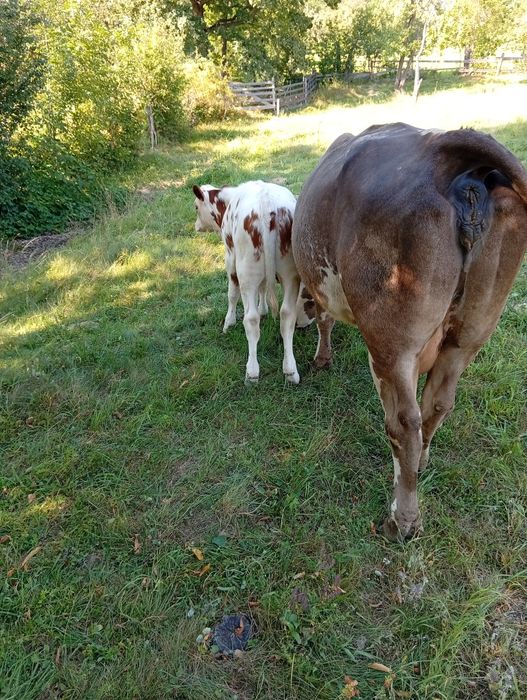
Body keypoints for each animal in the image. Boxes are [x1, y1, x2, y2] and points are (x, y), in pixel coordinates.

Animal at [192, 180, 308, 384]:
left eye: (196, 207)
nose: (196, 226)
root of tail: (267, 204)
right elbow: (263, 288)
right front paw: (264, 309)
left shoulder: (230, 258)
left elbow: (232, 294)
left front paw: (228, 323)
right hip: (290, 274)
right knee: (287, 316)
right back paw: (290, 371)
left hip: (246, 272)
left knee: (251, 319)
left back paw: (252, 372)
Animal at [292, 122, 527, 541]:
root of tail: (440, 147)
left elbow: (325, 320)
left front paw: (321, 358)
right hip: (470, 332)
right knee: (439, 403)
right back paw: (422, 464)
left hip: (393, 343)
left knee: (404, 424)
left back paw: (402, 519)